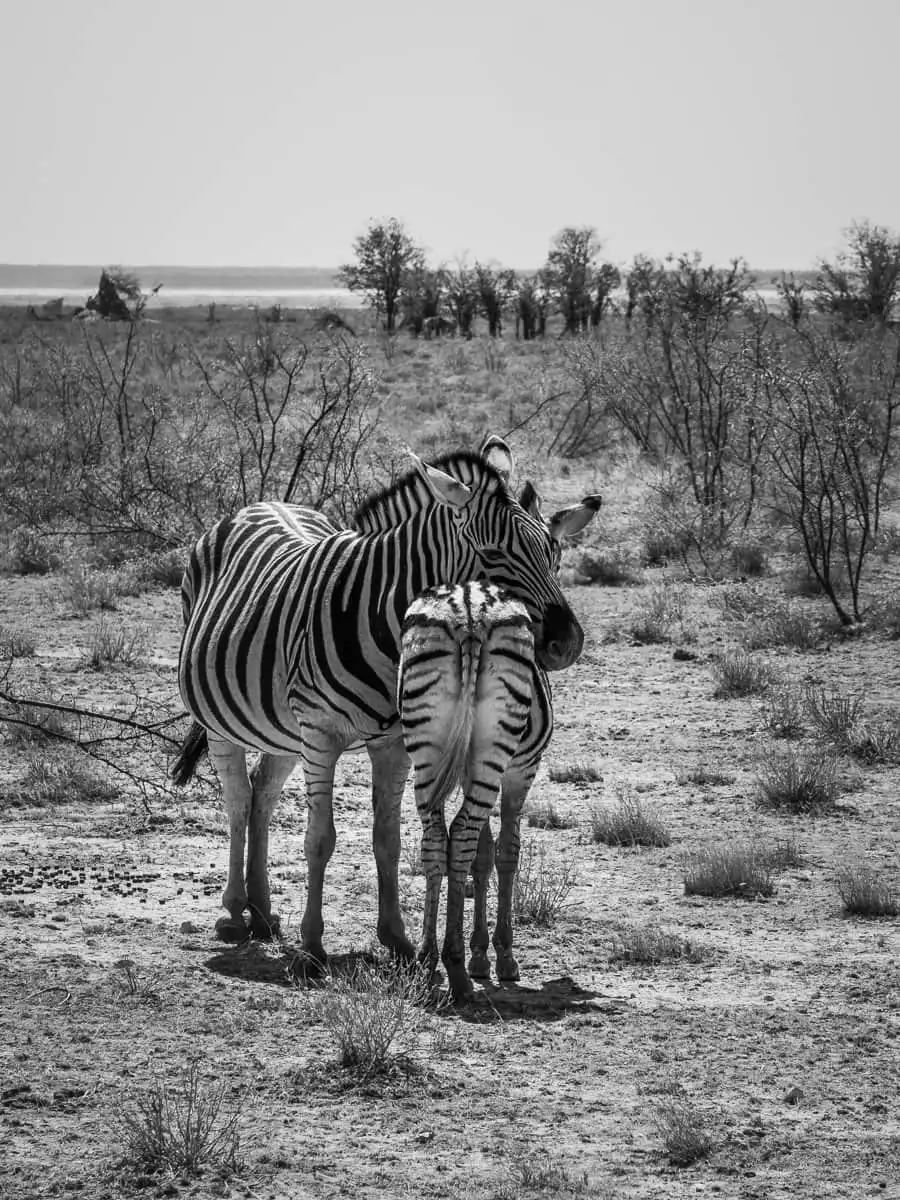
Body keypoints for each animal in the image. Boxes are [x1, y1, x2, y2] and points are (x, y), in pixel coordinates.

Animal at [398, 580, 554, 999]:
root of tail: (469, 612)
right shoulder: (521, 771)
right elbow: (506, 852)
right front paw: (502, 957)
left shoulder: (470, 772)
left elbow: (482, 856)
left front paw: (480, 954)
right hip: (493, 749)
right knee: (463, 832)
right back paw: (455, 970)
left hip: (426, 745)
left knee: (438, 838)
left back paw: (427, 958)